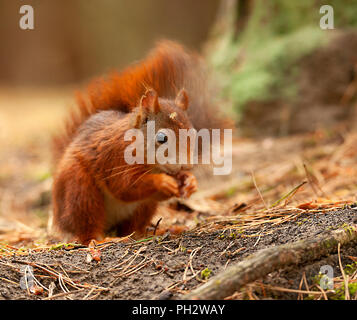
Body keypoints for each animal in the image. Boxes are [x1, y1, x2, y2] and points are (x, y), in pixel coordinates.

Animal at [49, 41, 227, 244]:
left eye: (195, 134)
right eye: (162, 138)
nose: (185, 165)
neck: (152, 165)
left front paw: (190, 181)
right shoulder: (115, 157)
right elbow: (125, 186)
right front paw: (162, 181)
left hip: (144, 207)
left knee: (131, 229)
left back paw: (157, 231)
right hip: (80, 189)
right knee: (86, 227)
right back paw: (100, 239)